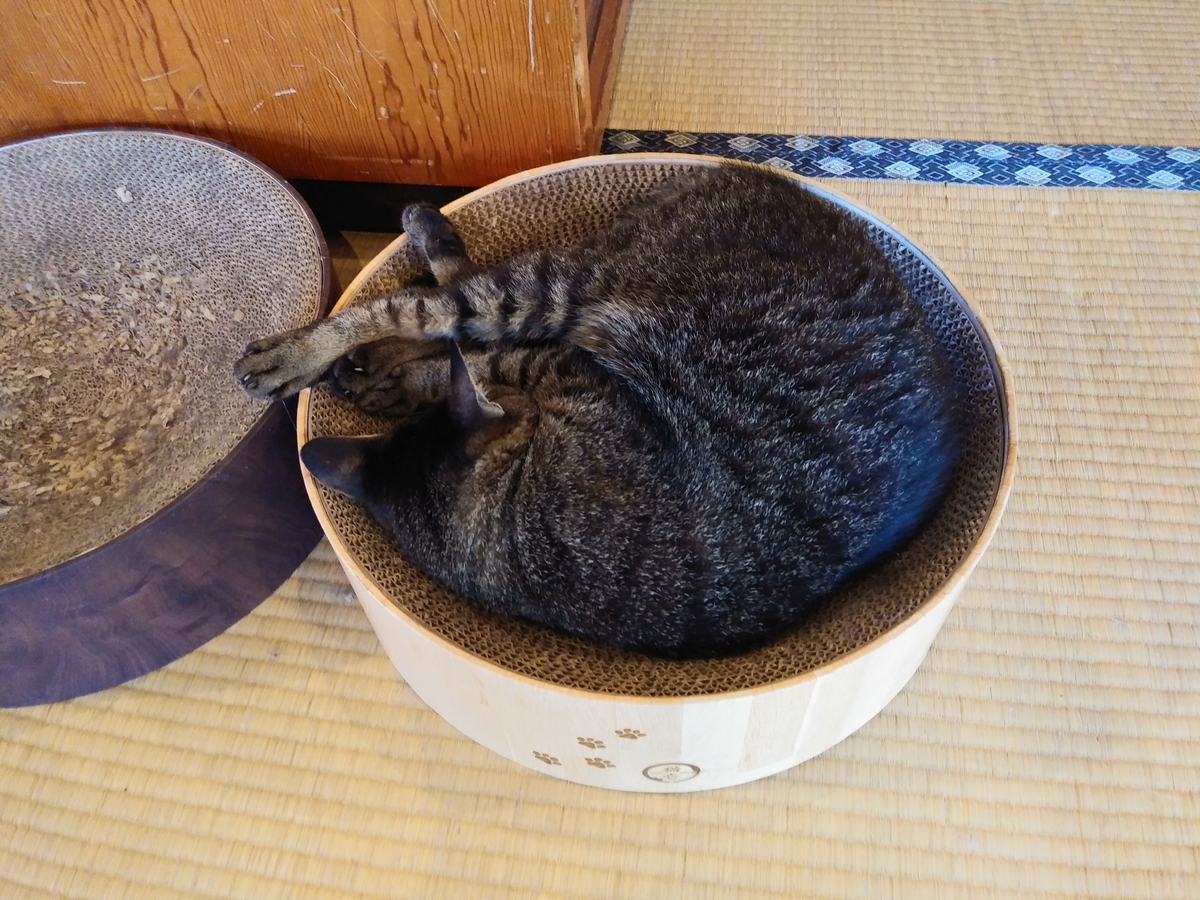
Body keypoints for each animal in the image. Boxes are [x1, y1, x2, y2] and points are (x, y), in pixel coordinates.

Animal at [235, 163, 962, 658]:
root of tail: (757, 175)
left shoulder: (562, 371)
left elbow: (463, 365)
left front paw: (384, 380)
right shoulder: (563, 368)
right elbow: (459, 357)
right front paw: (378, 375)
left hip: (563, 293)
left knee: (438, 310)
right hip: (562, 289)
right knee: (428, 305)